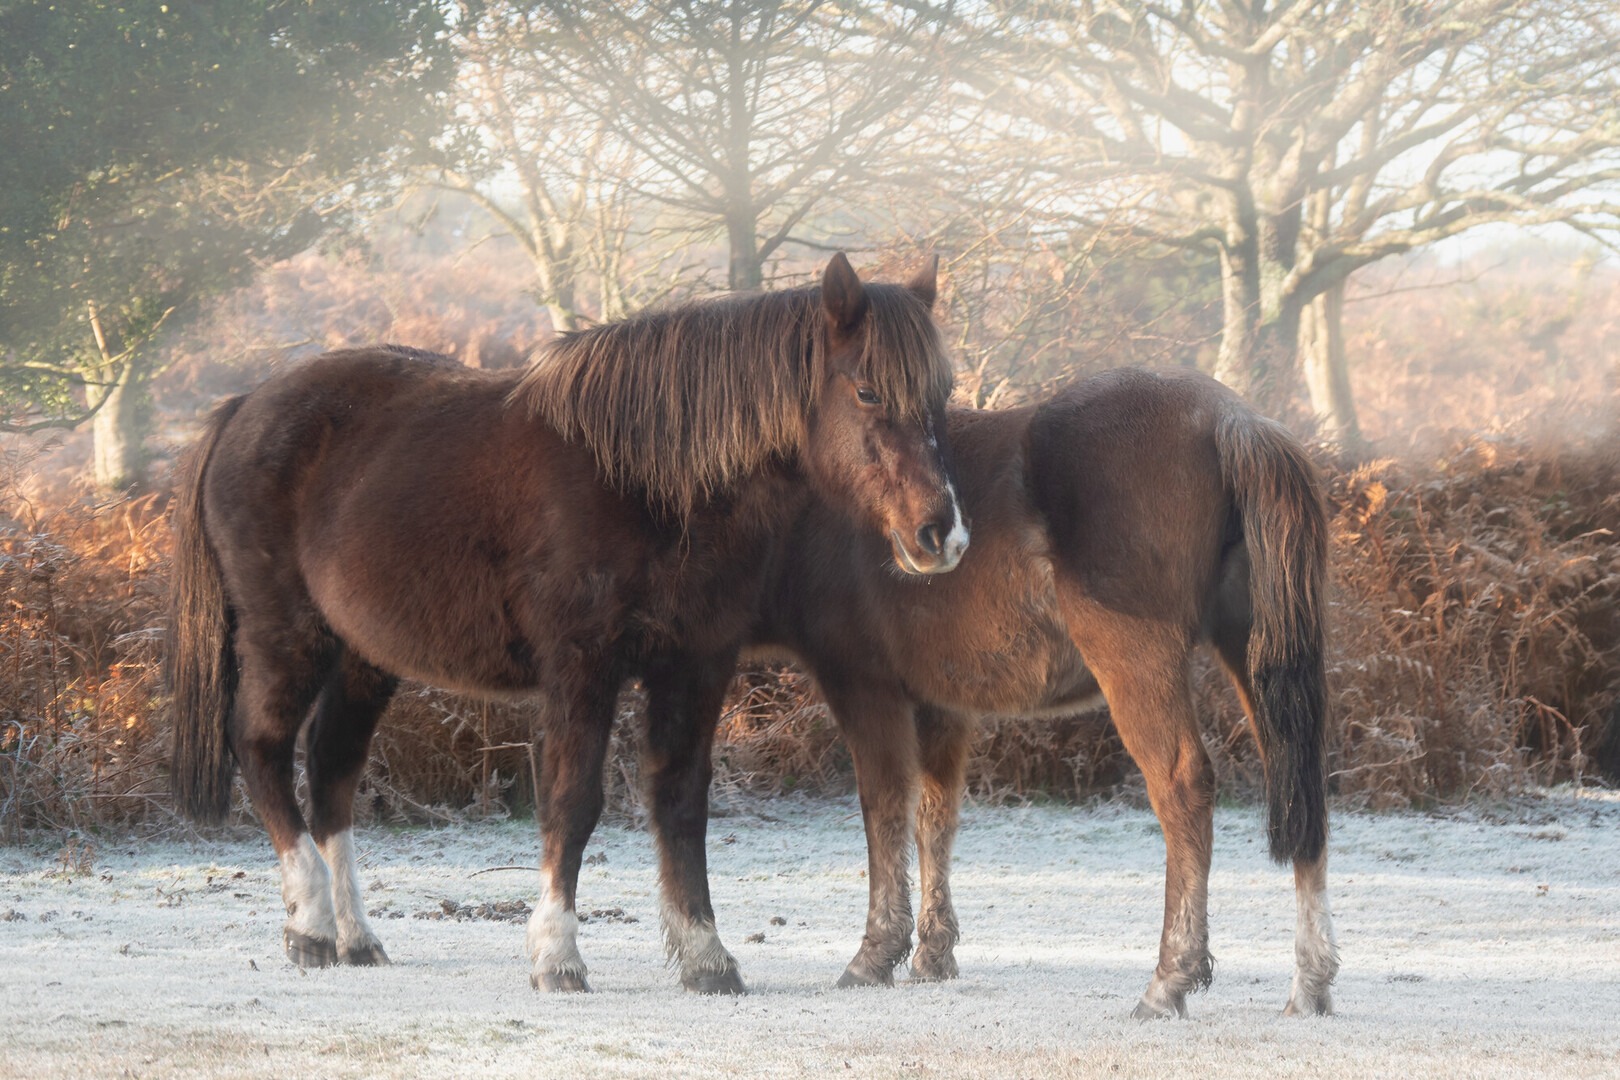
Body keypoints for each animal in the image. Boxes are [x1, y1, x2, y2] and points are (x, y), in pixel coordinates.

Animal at [167, 254, 969, 995]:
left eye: (942, 395)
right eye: (866, 390)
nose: (942, 535)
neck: (646, 480)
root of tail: (245, 406)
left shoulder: (696, 661)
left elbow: (680, 801)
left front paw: (706, 958)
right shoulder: (582, 667)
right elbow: (572, 804)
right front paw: (557, 958)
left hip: (363, 658)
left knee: (332, 770)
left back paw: (355, 938)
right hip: (287, 637)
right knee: (263, 750)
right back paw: (308, 927)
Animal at [743, 366, 1338, 1017]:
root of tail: (1231, 418)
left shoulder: (864, 689)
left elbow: (885, 812)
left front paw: (875, 955)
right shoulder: (940, 705)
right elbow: (935, 817)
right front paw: (932, 955)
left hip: (1138, 663)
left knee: (1183, 788)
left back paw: (1170, 980)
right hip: (1257, 660)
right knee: (1302, 788)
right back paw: (1310, 984)